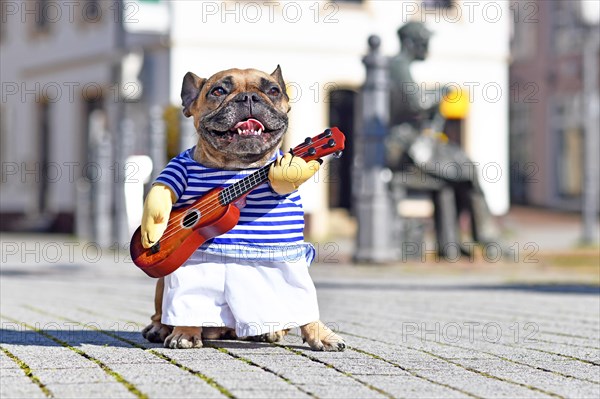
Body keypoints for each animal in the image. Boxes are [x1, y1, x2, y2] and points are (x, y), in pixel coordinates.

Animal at [140, 67, 344, 352]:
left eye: (273, 91)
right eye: (218, 91)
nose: (248, 97)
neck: (238, 167)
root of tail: (225, 329)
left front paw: (321, 335)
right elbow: (164, 189)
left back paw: (272, 331)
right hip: (167, 279)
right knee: (168, 307)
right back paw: (169, 329)